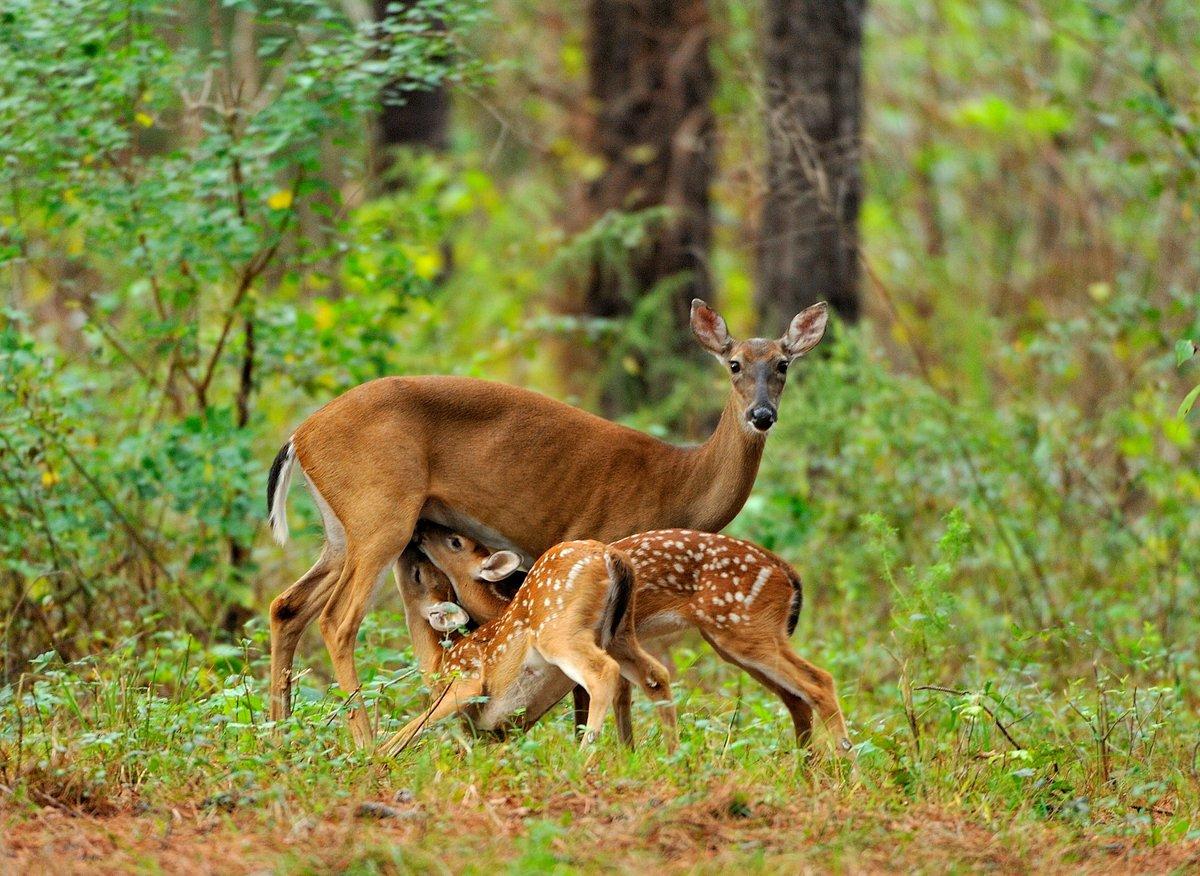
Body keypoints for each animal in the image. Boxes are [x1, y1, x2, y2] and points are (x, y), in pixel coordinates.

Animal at [384, 540, 676, 748]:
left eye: (417, 574)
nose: (410, 544)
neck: (438, 662)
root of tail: (611, 557)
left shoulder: (466, 683)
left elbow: (410, 731)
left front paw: (377, 761)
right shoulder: (499, 731)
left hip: (558, 632)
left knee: (604, 673)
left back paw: (584, 757)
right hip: (620, 633)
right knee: (655, 674)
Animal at [417, 523, 849, 753]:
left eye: (455, 541)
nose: (421, 531)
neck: (504, 605)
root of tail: (787, 573)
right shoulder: (617, 640)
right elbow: (635, 691)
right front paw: (636, 753)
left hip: (740, 628)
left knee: (820, 681)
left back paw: (844, 764)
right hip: (738, 640)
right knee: (797, 697)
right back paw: (808, 767)